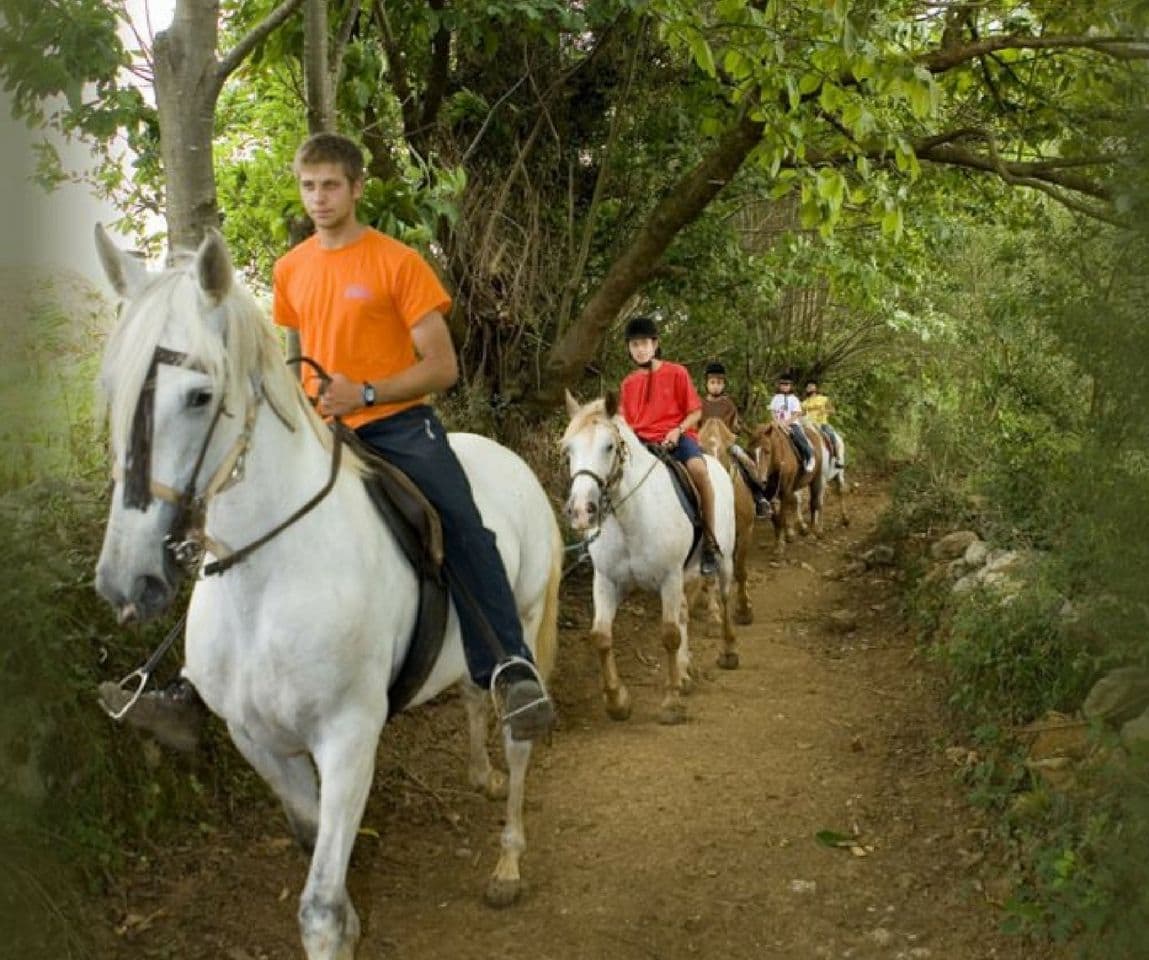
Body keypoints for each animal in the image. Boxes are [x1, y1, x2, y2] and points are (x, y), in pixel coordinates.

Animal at [91, 228, 563, 960]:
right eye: (111, 386)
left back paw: (508, 863)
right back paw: (479, 774)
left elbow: (319, 911)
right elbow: (321, 859)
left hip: (529, 621)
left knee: (517, 733)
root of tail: (507, 457)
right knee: (471, 696)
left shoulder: (347, 738)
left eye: (198, 396)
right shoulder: (260, 743)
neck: (267, 582)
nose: (126, 580)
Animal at [563, 388, 739, 721]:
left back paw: (729, 653)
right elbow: (601, 637)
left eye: (608, 446)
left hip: (722, 562)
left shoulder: (668, 578)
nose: (581, 510)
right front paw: (617, 702)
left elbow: (669, 635)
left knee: (724, 598)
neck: (629, 518)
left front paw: (671, 703)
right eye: (569, 449)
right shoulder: (606, 581)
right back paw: (684, 674)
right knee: (683, 612)